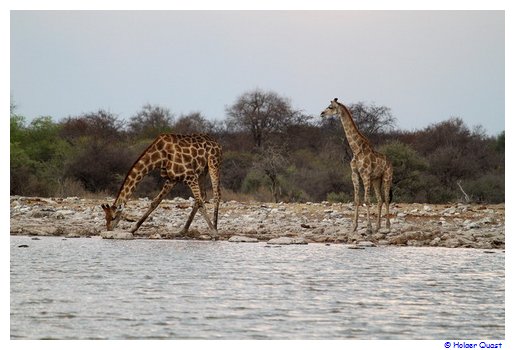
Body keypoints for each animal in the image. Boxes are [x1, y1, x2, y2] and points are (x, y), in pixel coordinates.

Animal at [320, 98, 394, 232]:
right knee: (380, 200)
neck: (356, 149)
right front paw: (354, 226)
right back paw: (378, 226)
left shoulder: (365, 175)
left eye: (330, 107)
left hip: (387, 177)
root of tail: (391, 162)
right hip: (376, 179)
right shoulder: (355, 174)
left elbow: (367, 200)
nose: (322, 113)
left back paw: (387, 226)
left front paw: (368, 227)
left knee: (386, 199)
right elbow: (356, 199)